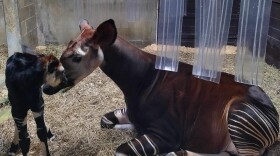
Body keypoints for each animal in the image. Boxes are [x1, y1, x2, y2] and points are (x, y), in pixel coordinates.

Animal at [42, 19, 278, 156]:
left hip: (239, 114)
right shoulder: (130, 113)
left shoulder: (165, 134)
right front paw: (130, 127)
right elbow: (106, 121)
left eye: (76, 57)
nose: (45, 87)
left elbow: (121, 151)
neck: (141, 81)